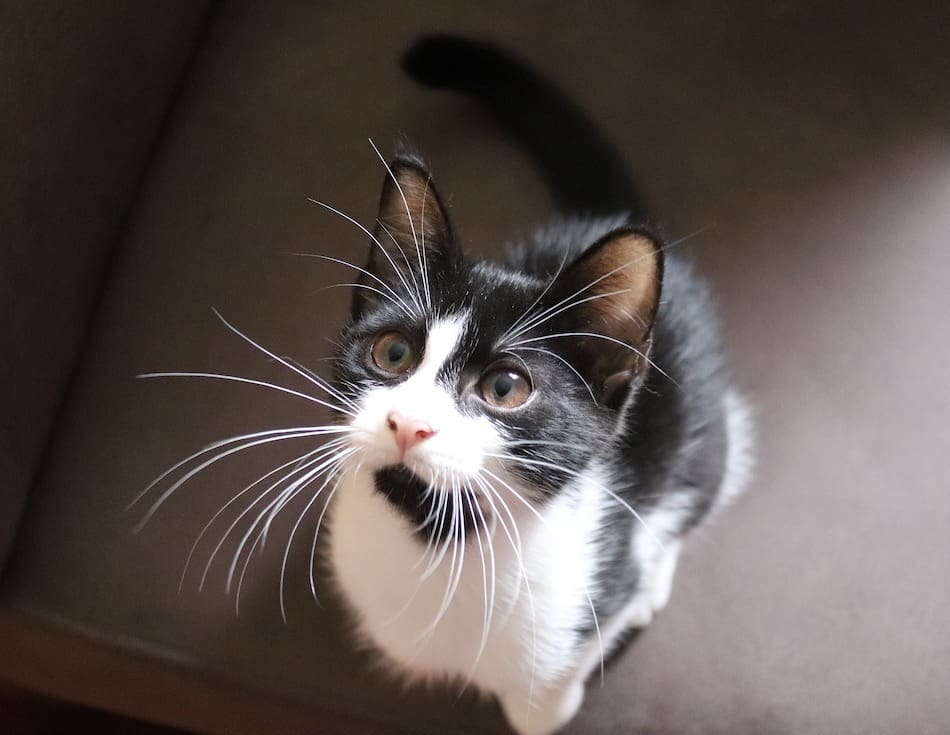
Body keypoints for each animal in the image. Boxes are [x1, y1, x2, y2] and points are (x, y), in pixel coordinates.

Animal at [326, 36, 752, 735]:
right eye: (393, 352)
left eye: (505, 389)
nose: (407, 423)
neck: (440, 540)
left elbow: (550, 690)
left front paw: (545, 708)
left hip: (702, 418)